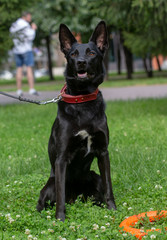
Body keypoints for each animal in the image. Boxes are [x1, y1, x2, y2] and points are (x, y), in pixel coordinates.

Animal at [36, 21, 115, 221]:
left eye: (91, 53)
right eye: (73, 54)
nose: (81, 62)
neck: (82, 101)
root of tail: (77, 198)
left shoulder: (103, 152)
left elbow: (109, 186)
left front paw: (113, 210)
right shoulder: (61, 159)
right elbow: (60, 195)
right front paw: (60, 219)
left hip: (95, 176)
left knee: (99, 194)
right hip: (50, 184)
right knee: (46, 201)